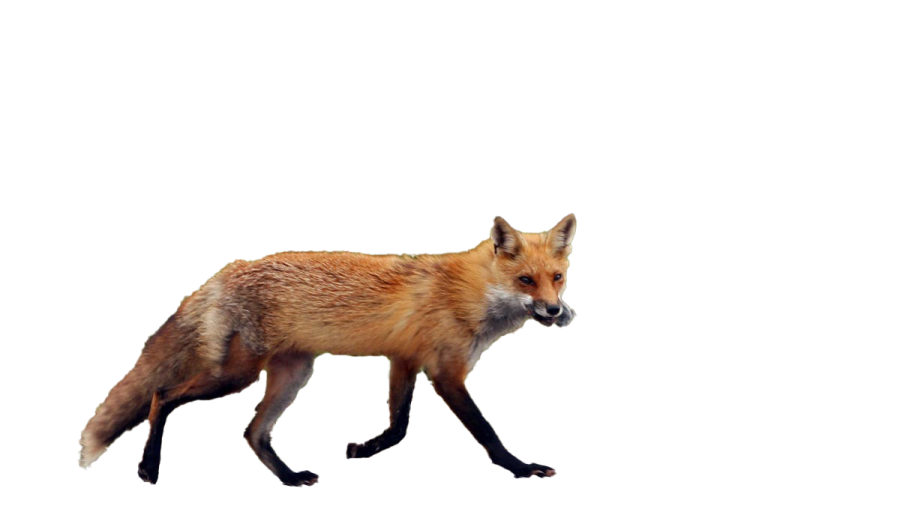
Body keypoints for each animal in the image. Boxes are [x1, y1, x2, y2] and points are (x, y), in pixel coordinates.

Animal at [78, 213, 577, 487]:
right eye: (525, 281)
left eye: (557, 277)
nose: (557, 310)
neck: (470, 292)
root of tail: (228, 269)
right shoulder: (444, 372)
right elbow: (487, 433)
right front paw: (520, 468)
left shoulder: (404, 359)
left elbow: (398, 426)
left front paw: (366, 448)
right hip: (235, 375)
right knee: (162, 396)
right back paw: (149, 467)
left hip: (293, 373)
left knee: (253, 433)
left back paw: (289, 478)